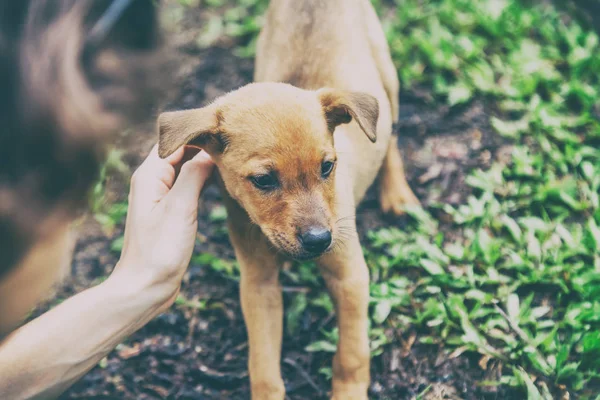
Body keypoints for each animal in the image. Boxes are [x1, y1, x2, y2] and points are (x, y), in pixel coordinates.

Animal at [159, 1, 420, 398]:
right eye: (264, 180)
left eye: (328, 166)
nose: (319, 240)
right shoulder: (258, 284)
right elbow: (264, 367)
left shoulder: (350, 275)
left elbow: (351, 354)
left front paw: (348, 391)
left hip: (387, 79)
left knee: (387, 134)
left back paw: (397, 195)